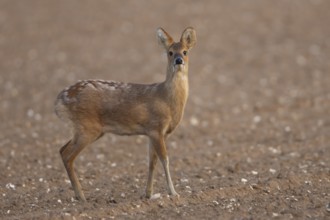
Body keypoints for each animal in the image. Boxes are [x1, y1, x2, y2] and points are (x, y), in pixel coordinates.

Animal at [54, 26, 196, 202]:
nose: (178, 60)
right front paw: (173, 192)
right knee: (68, 155)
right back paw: (81, 196)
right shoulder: (156, 128)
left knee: (62, 149)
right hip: (87, 128)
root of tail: (60, 100)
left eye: (185, 51)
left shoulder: (154, 132)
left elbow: (152, 161)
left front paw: (148, 194)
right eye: (170, 52)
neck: (167, 100)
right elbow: (165, 159)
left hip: (86, 129)